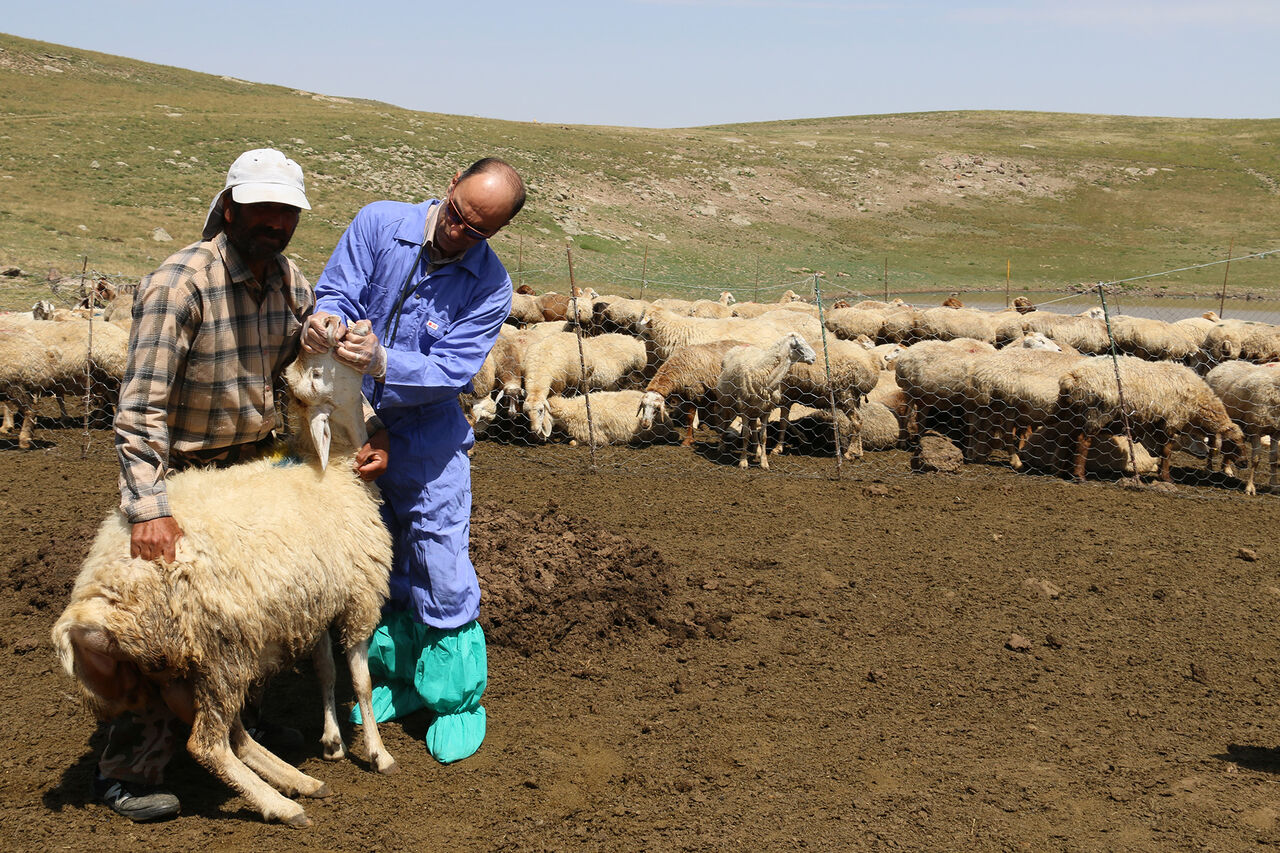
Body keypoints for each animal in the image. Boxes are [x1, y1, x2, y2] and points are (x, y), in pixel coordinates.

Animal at [51, 318, 394, 824]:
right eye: (314, 377)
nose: (329, 323)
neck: (335, 469)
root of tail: (92, 604)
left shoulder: (312, 602)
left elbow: (326, 672)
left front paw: (331, 742)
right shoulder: (358, 597)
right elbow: (363, 683)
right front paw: (376, 752)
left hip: (175, 667)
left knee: (232, 735)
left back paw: (298, 780)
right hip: (219, 652)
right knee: (207, 744)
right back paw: (280, 804)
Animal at [716, 330, 814, 466]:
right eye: (798, 346)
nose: (814, 358)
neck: (766, 373)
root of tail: (737, 347)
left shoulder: (766, 410)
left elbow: (763, 436)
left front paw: (764, 462)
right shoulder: (744, 409)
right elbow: (745, 436)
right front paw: (743, 461)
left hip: (754, 408)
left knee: (752, 426)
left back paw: (756, 450)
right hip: (727, 404)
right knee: (723, 423)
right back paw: (721, 446)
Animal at [1203, 356, 1274, 491]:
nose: (1244, 463)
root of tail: (1225, 363)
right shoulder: (1256, 429)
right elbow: (1256, 459)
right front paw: (1250, 487)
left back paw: (1227, 468)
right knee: (1213, 442)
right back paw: (1211, 468)